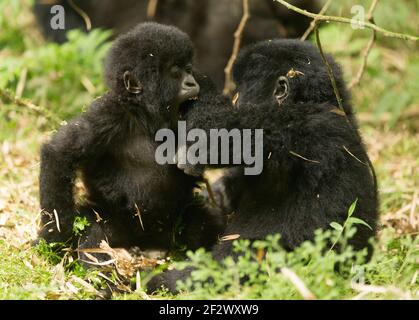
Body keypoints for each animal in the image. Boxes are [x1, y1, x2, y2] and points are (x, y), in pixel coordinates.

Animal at [37, 23, 225, 262]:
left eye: (189, 69)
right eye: (175, 72)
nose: (192, 82)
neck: (145, 116)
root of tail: (149, 243)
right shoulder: (108, 116)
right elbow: (60, 153)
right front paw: (54, 238)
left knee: (205, 225)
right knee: (95, 234)